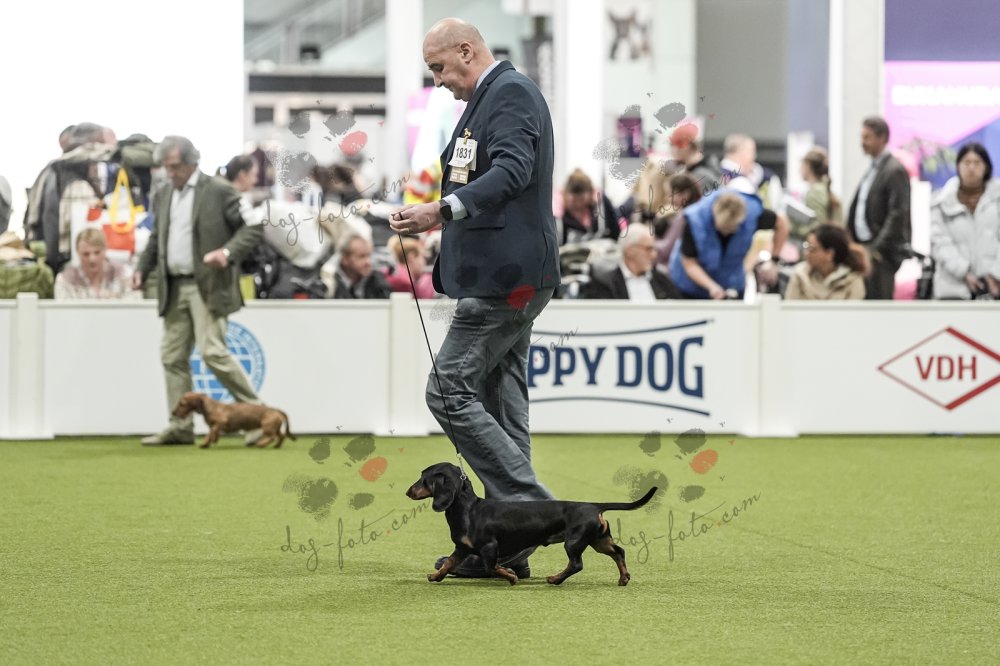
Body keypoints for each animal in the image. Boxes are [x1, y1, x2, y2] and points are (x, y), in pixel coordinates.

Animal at [406, 462, 657, 586]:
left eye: (423, 478)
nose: (407, 492)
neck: (469, 509)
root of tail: (594, 507)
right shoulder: (462, 548)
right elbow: (449, 563)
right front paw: (435, 576)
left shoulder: (489, 547)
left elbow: (491, 567)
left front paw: (510, 576)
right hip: (598, 540)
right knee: (619, 552)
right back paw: (623, 578)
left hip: (574, 542)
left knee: (576, 564)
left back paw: (555, 579)